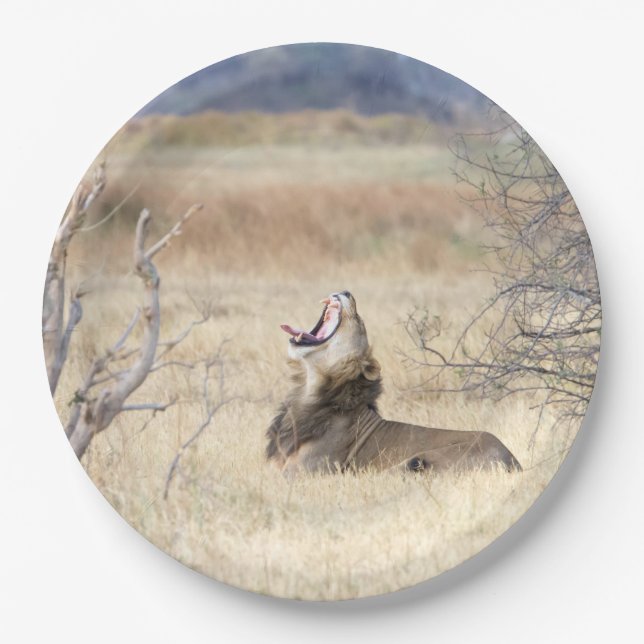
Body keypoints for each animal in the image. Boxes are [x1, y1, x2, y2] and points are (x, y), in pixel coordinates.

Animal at [267, 291, 522, 476]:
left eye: (358, 320)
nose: (347, 292)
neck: (308, 390)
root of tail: (513, 460)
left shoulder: (303, 473)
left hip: (413, 462)